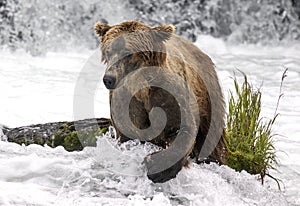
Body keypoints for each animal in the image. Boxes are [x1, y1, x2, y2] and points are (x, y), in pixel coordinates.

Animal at [95, 20, 226, 182]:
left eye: (127, 52)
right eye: (108, 51)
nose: (109, 79)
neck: (142, 89)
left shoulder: (170, 96)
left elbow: (184, 129)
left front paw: (156, 166)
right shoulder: (127, 104)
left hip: (208, 95)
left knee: (210, 137)